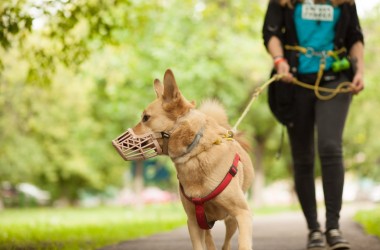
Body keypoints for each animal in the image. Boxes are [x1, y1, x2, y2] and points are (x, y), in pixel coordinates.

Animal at [113, 69, 255, 250]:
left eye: (146, 118)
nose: (114, 143)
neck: (195, 153)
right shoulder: (193, 222)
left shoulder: (242, 214)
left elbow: (243, 243)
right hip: (205, 223)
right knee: (210, 241)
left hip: (231, 221)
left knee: (226, 242)